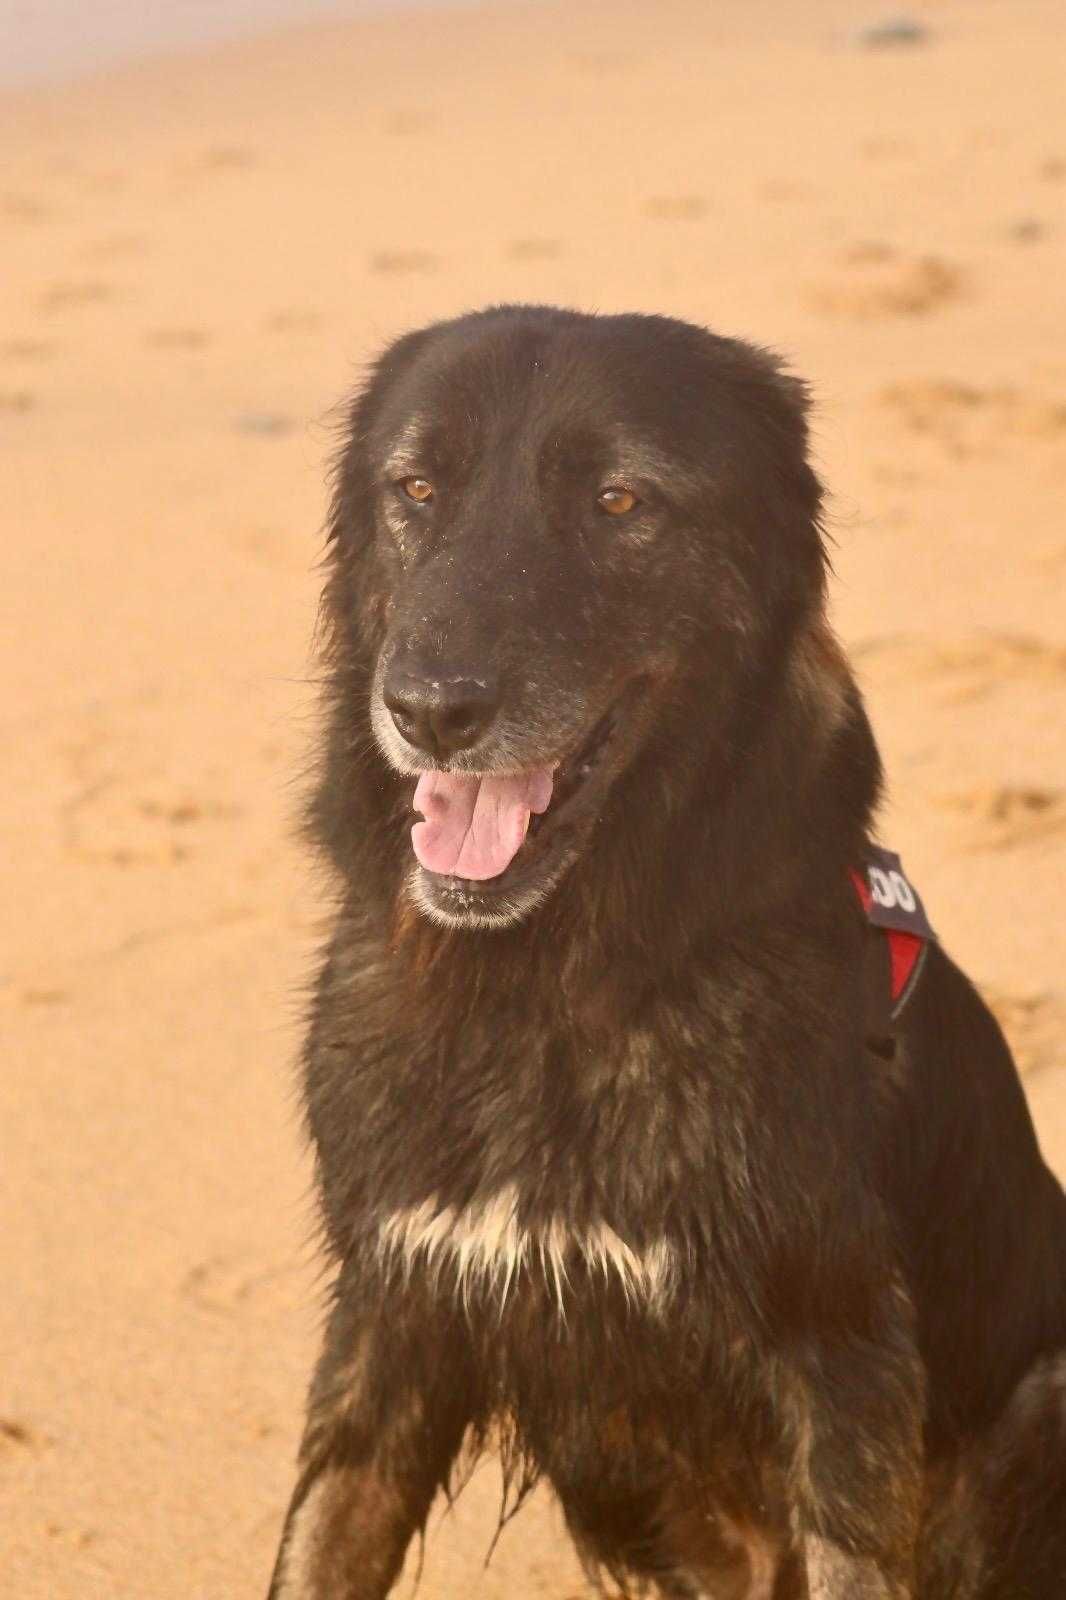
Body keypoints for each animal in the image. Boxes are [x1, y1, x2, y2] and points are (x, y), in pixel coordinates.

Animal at [265, 305, 1062, 1593]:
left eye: (619, 501)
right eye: (417, 488)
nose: (430, 709)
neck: (542, 990)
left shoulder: (841, 1357)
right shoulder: (389, 1324)